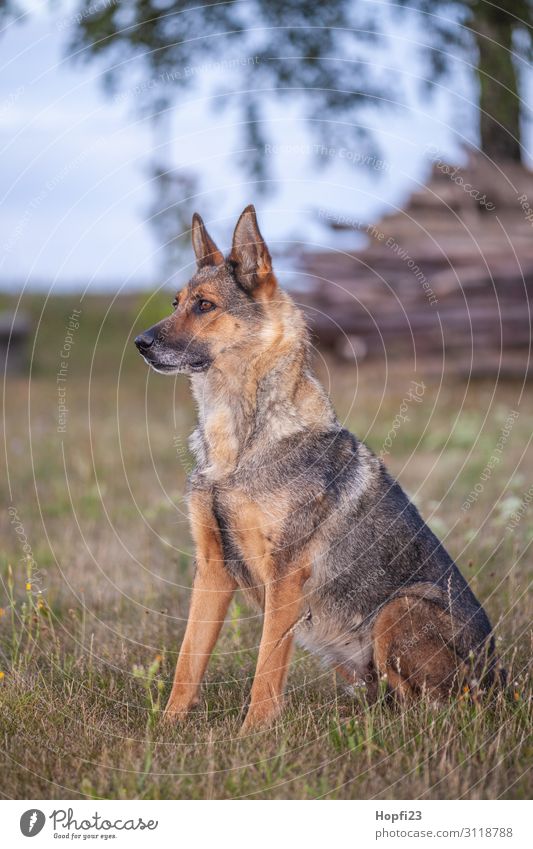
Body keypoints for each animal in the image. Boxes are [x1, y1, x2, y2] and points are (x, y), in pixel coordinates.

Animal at [135, 204, 496, 728]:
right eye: (176, 302)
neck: (239, 445)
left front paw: (253, 735)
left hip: (400, 608)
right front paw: (168, 727)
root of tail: (504, 683)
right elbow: (188, 661)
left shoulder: (285, 575)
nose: (139, 343)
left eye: (204, 306)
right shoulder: (212, 569)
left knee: (430, 710)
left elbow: (266, 672)